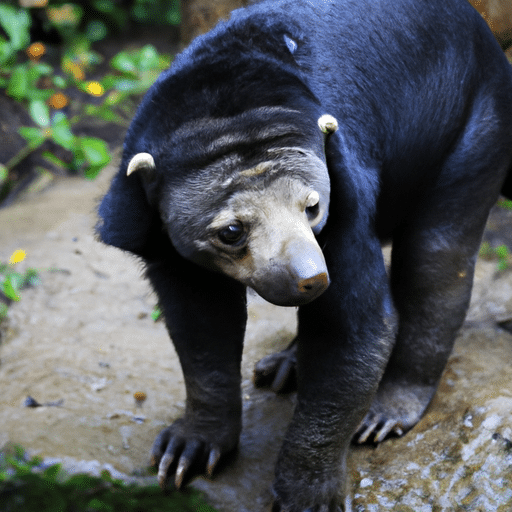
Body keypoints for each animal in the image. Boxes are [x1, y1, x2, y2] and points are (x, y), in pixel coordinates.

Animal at [97, 2, 512, 510]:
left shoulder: (347, 207)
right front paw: (187, 449)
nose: (312, 277)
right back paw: (286, 365)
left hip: (474, 127)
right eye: (232, 231)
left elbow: (354, 329)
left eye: (313, 207)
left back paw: (386, 411)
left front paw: (307, 493)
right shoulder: (160, 237)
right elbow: (201, 329)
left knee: (436, 257)